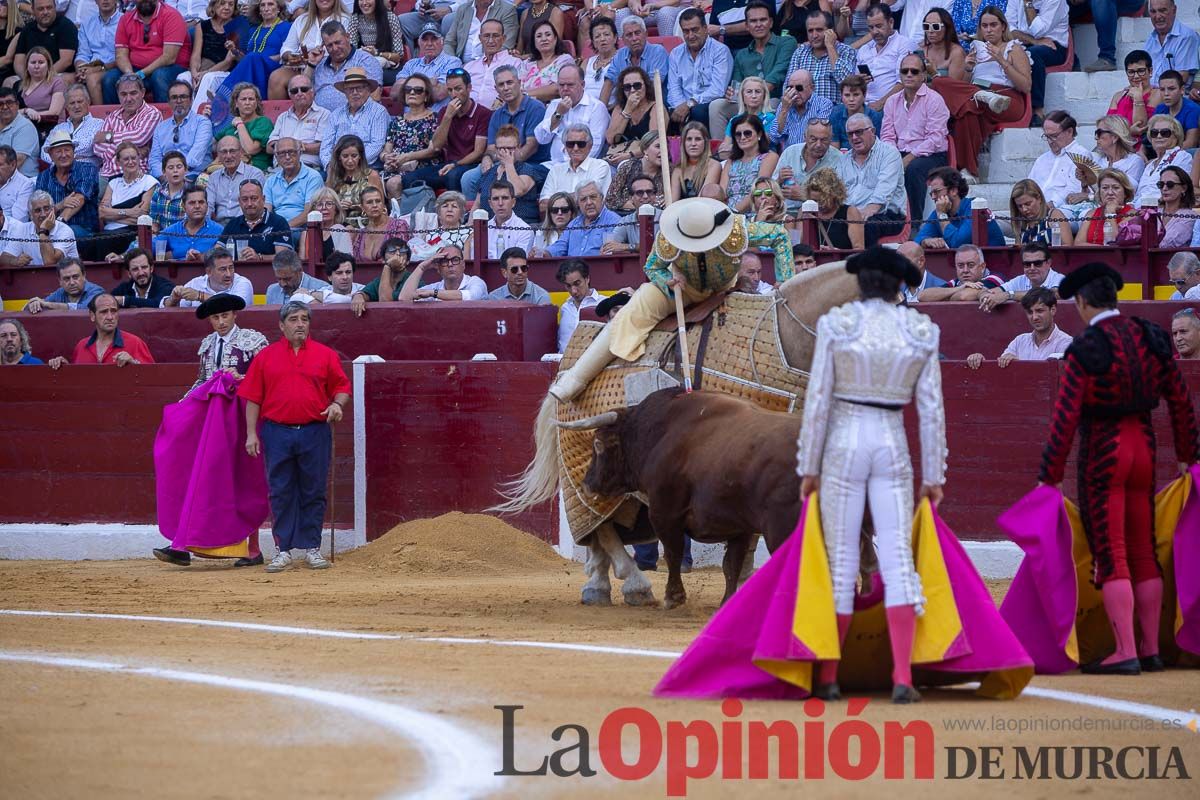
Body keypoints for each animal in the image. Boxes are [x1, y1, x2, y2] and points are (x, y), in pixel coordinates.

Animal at [564, 388, 806, 606]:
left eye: (598, 444)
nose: (587, 484)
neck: (659, 431)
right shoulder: (740, 527)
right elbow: (731, 564)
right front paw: (727, 601)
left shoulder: (664, 513)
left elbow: (674, 553)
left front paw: (674, 596)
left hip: (779, 530)